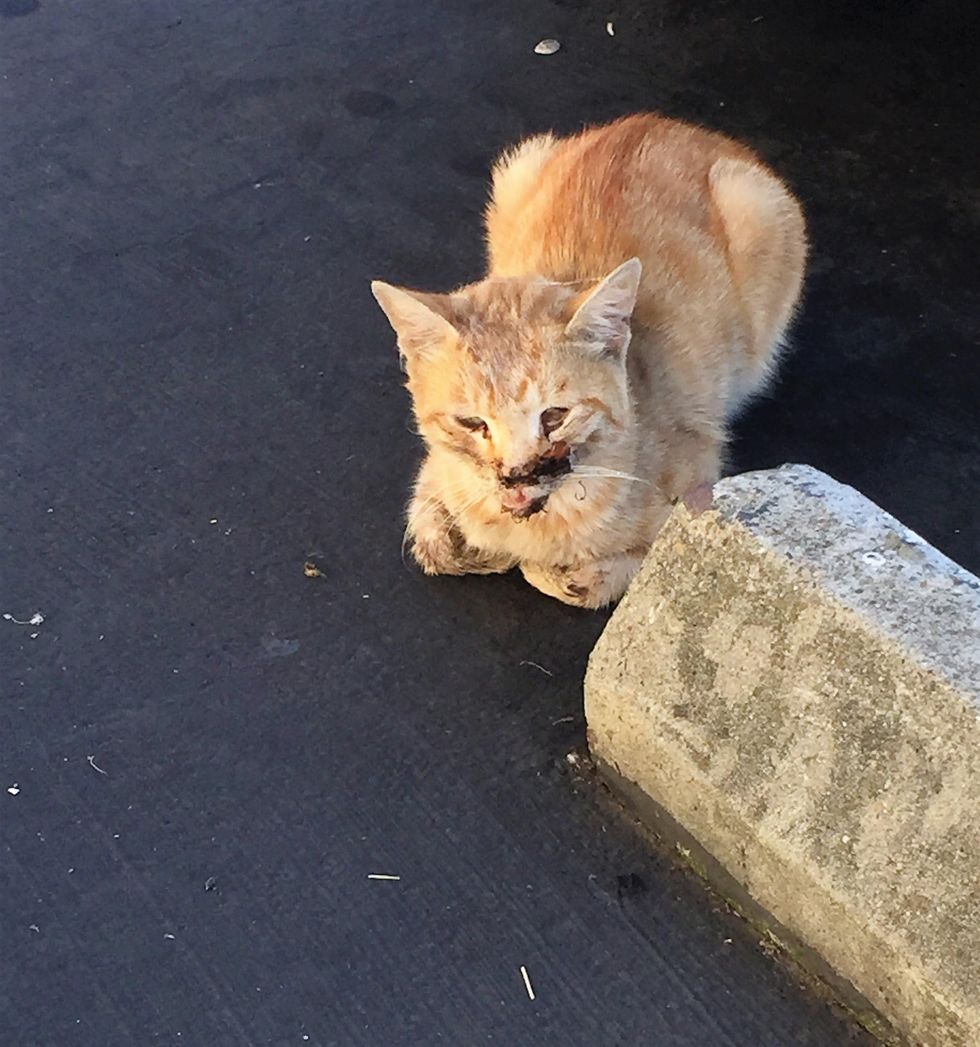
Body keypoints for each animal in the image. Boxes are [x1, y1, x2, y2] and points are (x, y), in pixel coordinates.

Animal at [370, 111, 808, 611]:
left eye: (555, 416)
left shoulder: (698, 494)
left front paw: (551, 567)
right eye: (472, 423)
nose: (514, 477)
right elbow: (434, 510)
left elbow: (585, 575)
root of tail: (665, 122)